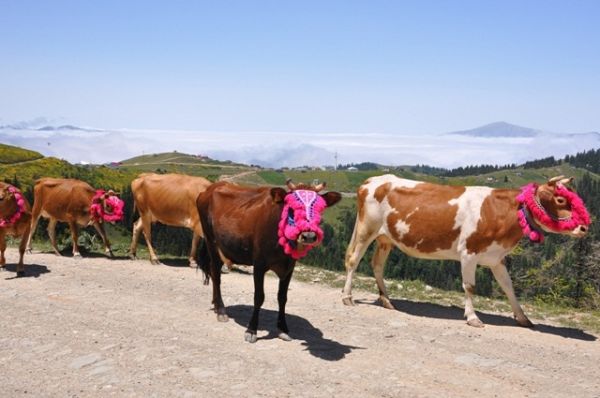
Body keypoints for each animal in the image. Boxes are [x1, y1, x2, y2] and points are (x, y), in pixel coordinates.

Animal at [196, 180, 340, 342]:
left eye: (319, 209)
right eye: (291, 208)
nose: (308, 236)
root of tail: (211, 187)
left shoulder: (289, 267)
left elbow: (282, 297)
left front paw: (283, 328)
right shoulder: (259, 264)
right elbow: (259, 297)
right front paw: (251, 330)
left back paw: (216, 305)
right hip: (211, 242)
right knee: (216, 274)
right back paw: (221, 310)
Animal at [342, 174, 592, 326]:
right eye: (561, 200)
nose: (584, 227)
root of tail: (373, 180)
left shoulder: (496, 258)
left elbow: (509, 288)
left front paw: (523, 318)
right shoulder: (469, 253)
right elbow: (470, 287)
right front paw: (472, 317)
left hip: (386, 238)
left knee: (377, 265)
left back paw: (386, 300)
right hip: (366, 229)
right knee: (353, 260)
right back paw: (347, 297)